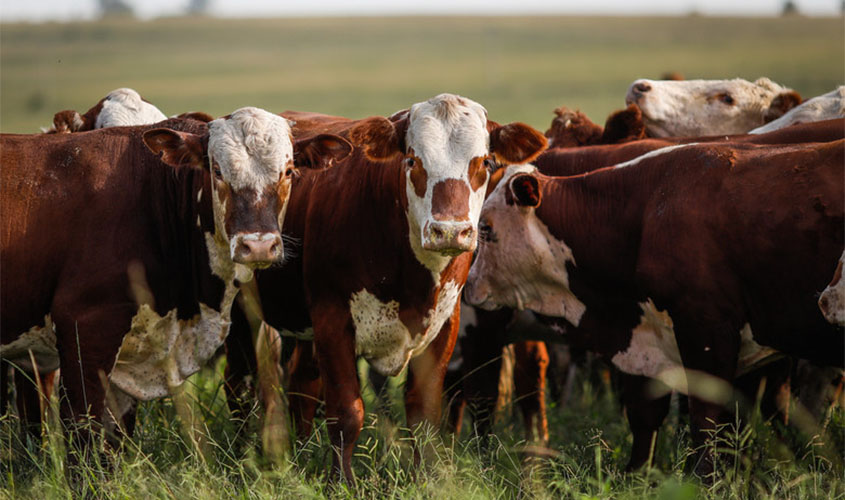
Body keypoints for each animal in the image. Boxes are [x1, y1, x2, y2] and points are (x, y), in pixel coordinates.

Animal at [221, 94, 544, 480]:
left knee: (302, 385)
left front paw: (426, 480)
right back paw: (239, 457)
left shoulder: (444, 326)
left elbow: (423, 415)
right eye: (412, 160)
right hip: (242, 314)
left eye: (485, 162)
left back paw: (301, 454)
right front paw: (340, 482)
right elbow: (346, 413)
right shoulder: (333, 321)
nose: (449, 231)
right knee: (239, 387)